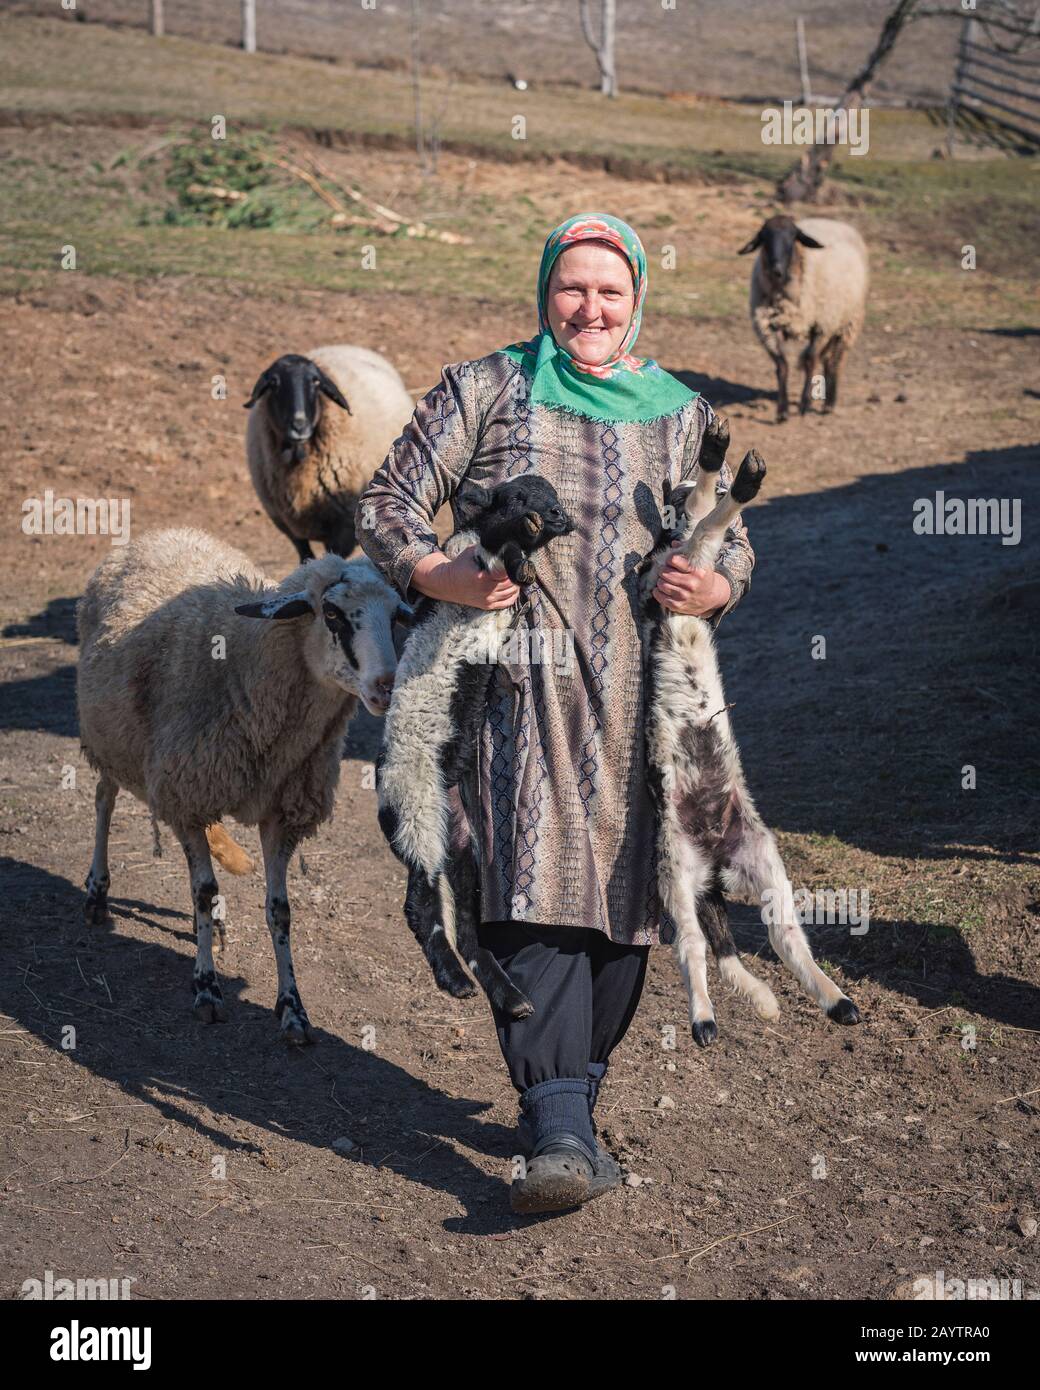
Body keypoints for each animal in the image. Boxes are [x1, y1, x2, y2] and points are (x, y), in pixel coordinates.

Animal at [72, 528, 403, 1045]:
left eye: (397, 615)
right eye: (332, 613)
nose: (387, 686)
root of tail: (164, 532)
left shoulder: (281, 812)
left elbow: (279, 909)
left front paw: (293, 1010)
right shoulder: (186, 796)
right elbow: (203, 891)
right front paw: (206, 989)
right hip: (109, 738)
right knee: (104, 801)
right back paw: (97, 892)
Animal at [378, 472, 575, 1017]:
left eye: (554, 496)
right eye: (516, 496)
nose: (556, 515)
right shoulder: (466, 555)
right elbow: (495, 550)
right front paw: (522, 554)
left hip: (462, 843)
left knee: (465, 923)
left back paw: (509, 996)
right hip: (416, 809)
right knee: (420, 905)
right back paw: (454, 980)